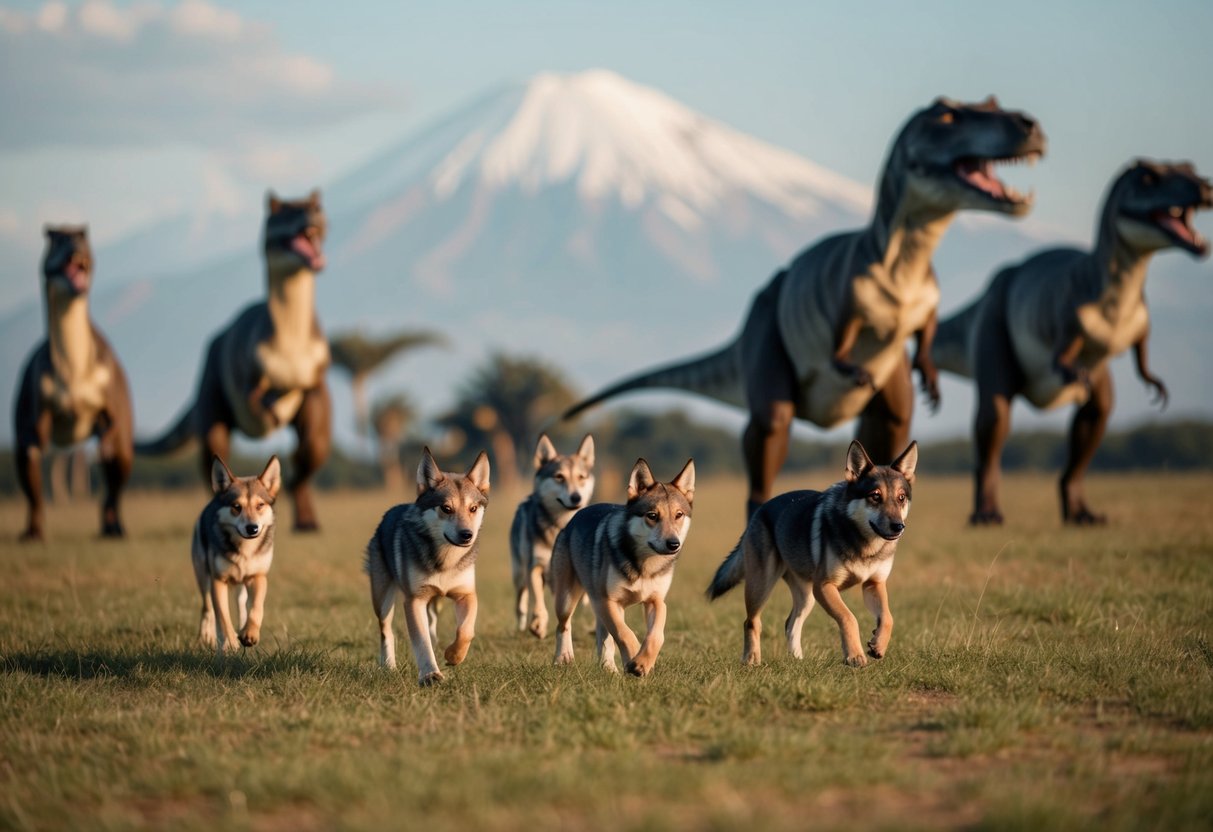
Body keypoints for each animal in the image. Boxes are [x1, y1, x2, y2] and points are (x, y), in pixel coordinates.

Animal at [192, 455, 281, 654]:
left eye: (260, 505)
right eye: (236, 506)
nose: (252, 528)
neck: (245, 551)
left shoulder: (258, 576)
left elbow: (256, 608)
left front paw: (249, 635)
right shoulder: (219, 580)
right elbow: (223, 615)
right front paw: (230, 642)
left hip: (242, 583)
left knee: (242, 604)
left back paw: (242, 628)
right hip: (203, 576)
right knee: (207, 608)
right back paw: (209, 637)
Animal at [365, 447, 491, 686]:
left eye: (473, 508)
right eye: (446, 508)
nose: (467, 535)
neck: (445, 560)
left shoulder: (466, 594)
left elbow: (466, 631)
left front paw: (453, 655)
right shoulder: (414, 600)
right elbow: (422, 642)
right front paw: (430, 675)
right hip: (383, 601)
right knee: (386, 632)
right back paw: (389, 666)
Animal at [510, 433, 596, 638]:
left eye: (581, 477)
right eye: (559, 477)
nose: (576, 497)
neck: (561, 525)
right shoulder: (535, 566)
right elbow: (539, 601)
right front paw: (539, 624)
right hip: (519, 572)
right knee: (521, 599)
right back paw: (522, 623)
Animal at [551, 457, 695, 677]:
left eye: (678, 515)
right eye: (652, 515)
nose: (673, 544)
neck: (644, 565)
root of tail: (573, 519)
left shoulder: (656, 601)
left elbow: (656, 635)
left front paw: (642, 662)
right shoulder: (609, 601)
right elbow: (625, 633)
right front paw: (635, 661)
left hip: (598, 605)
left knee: (603, 639)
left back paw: (609, 669)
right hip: (567, 599)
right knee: (563, 626)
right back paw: (563, 658)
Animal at [707, 440, 917, 668]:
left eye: (901, 498)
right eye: (875, 496)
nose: (899, 527)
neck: (866, 544)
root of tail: (760, 510)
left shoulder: (874, 584)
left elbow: (888, 618)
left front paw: (877, 645)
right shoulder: (824, 586)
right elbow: (849, 617)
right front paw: (855, 656)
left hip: (806, 597)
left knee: (790, 623)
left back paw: (797, 660)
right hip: (762, 585)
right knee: (751, 621)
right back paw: (752, 659)